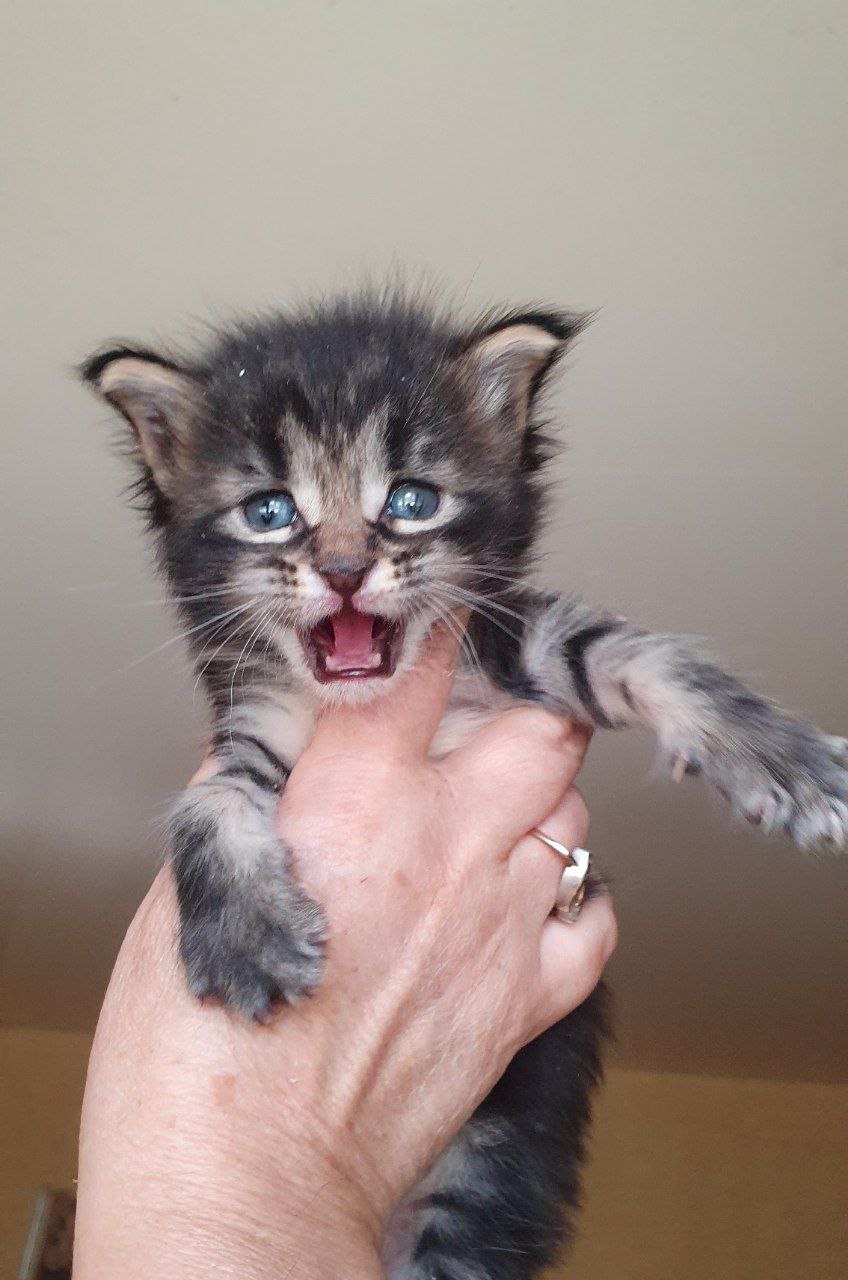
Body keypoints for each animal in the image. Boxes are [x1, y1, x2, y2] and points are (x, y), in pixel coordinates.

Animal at [82, 291, 846, 1279]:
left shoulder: (512, 650)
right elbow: (206, 801)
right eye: (269, 510)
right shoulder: (248, 729)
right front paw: (247, 936)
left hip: (491, 1165)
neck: (375, 704)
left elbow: (631, 648)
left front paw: (780, 757)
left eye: (411, 501)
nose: (342, 570)